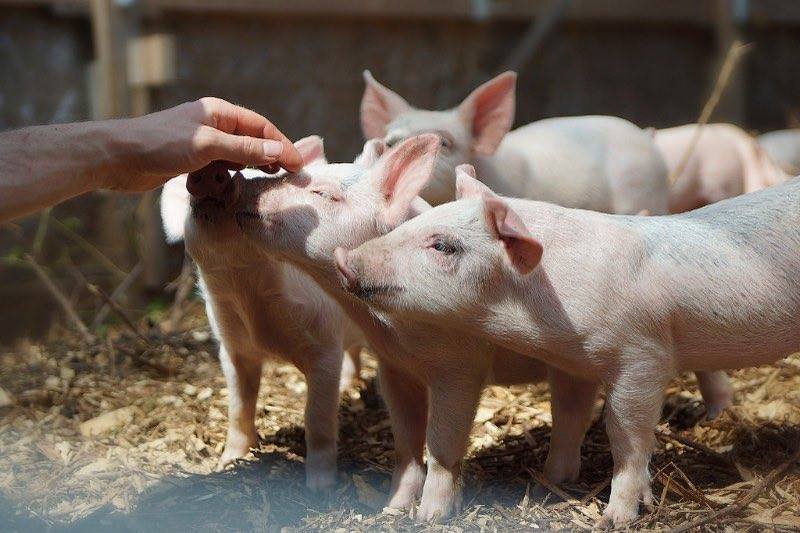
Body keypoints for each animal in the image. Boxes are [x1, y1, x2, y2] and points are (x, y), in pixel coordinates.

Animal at [159, 136, 365, 490]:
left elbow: (318, 416)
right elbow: (239, 405)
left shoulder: (324, 346)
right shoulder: (232, 346)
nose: (211, 170)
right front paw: (230, 461)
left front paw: (320, 488)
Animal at [232, 135, 734, 520]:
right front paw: (392, 509)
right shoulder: (393, 367)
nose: (240, 185)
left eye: (325, 195)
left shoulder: (460, 365)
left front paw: (429, 517)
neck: (389, 328)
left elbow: (442, 441)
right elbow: (406, 440)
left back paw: (715, 418)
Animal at [335, 165, 800, 526]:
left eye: (443, 246)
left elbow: (627, 436)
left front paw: (614, 519)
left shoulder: (642, 356)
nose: (344, 259)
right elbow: (569, 417)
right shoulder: (573, 363)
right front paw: (553, 482)